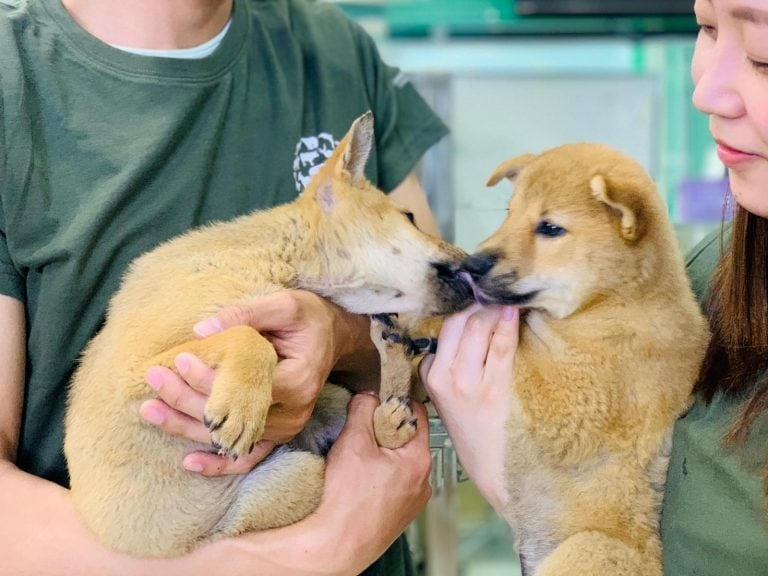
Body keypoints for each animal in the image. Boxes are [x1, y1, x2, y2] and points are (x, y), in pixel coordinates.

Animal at [64, 112, 474, 560]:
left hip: (316, 433)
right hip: (290, 481)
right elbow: (249, 336)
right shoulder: (139, 370)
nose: (476, 264)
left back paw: (390, 389)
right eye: (410, 217)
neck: (272, 259)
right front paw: (241, 408)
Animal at [462, 144, 708, 576]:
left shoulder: (572, 398)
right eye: (509, 212)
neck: (619, 302)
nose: (471, 265)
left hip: (586, 549)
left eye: (550, 228)